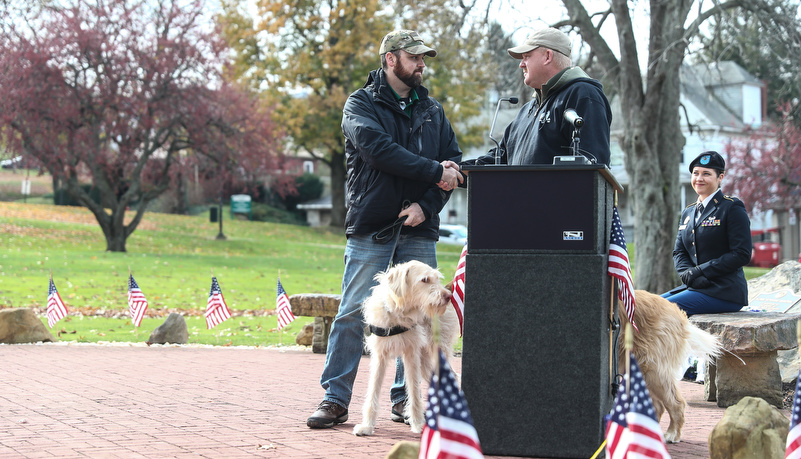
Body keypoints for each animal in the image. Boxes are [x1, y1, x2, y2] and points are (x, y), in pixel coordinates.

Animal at [354, 260, 460, 436]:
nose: (447, 296)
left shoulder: (411, 354)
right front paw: (367, 426)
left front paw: (418, 425)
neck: (399, 312)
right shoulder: (380, 355)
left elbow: (414, 393)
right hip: (426, 365)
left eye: (436, 278)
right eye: (425, 280)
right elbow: (373, 390)